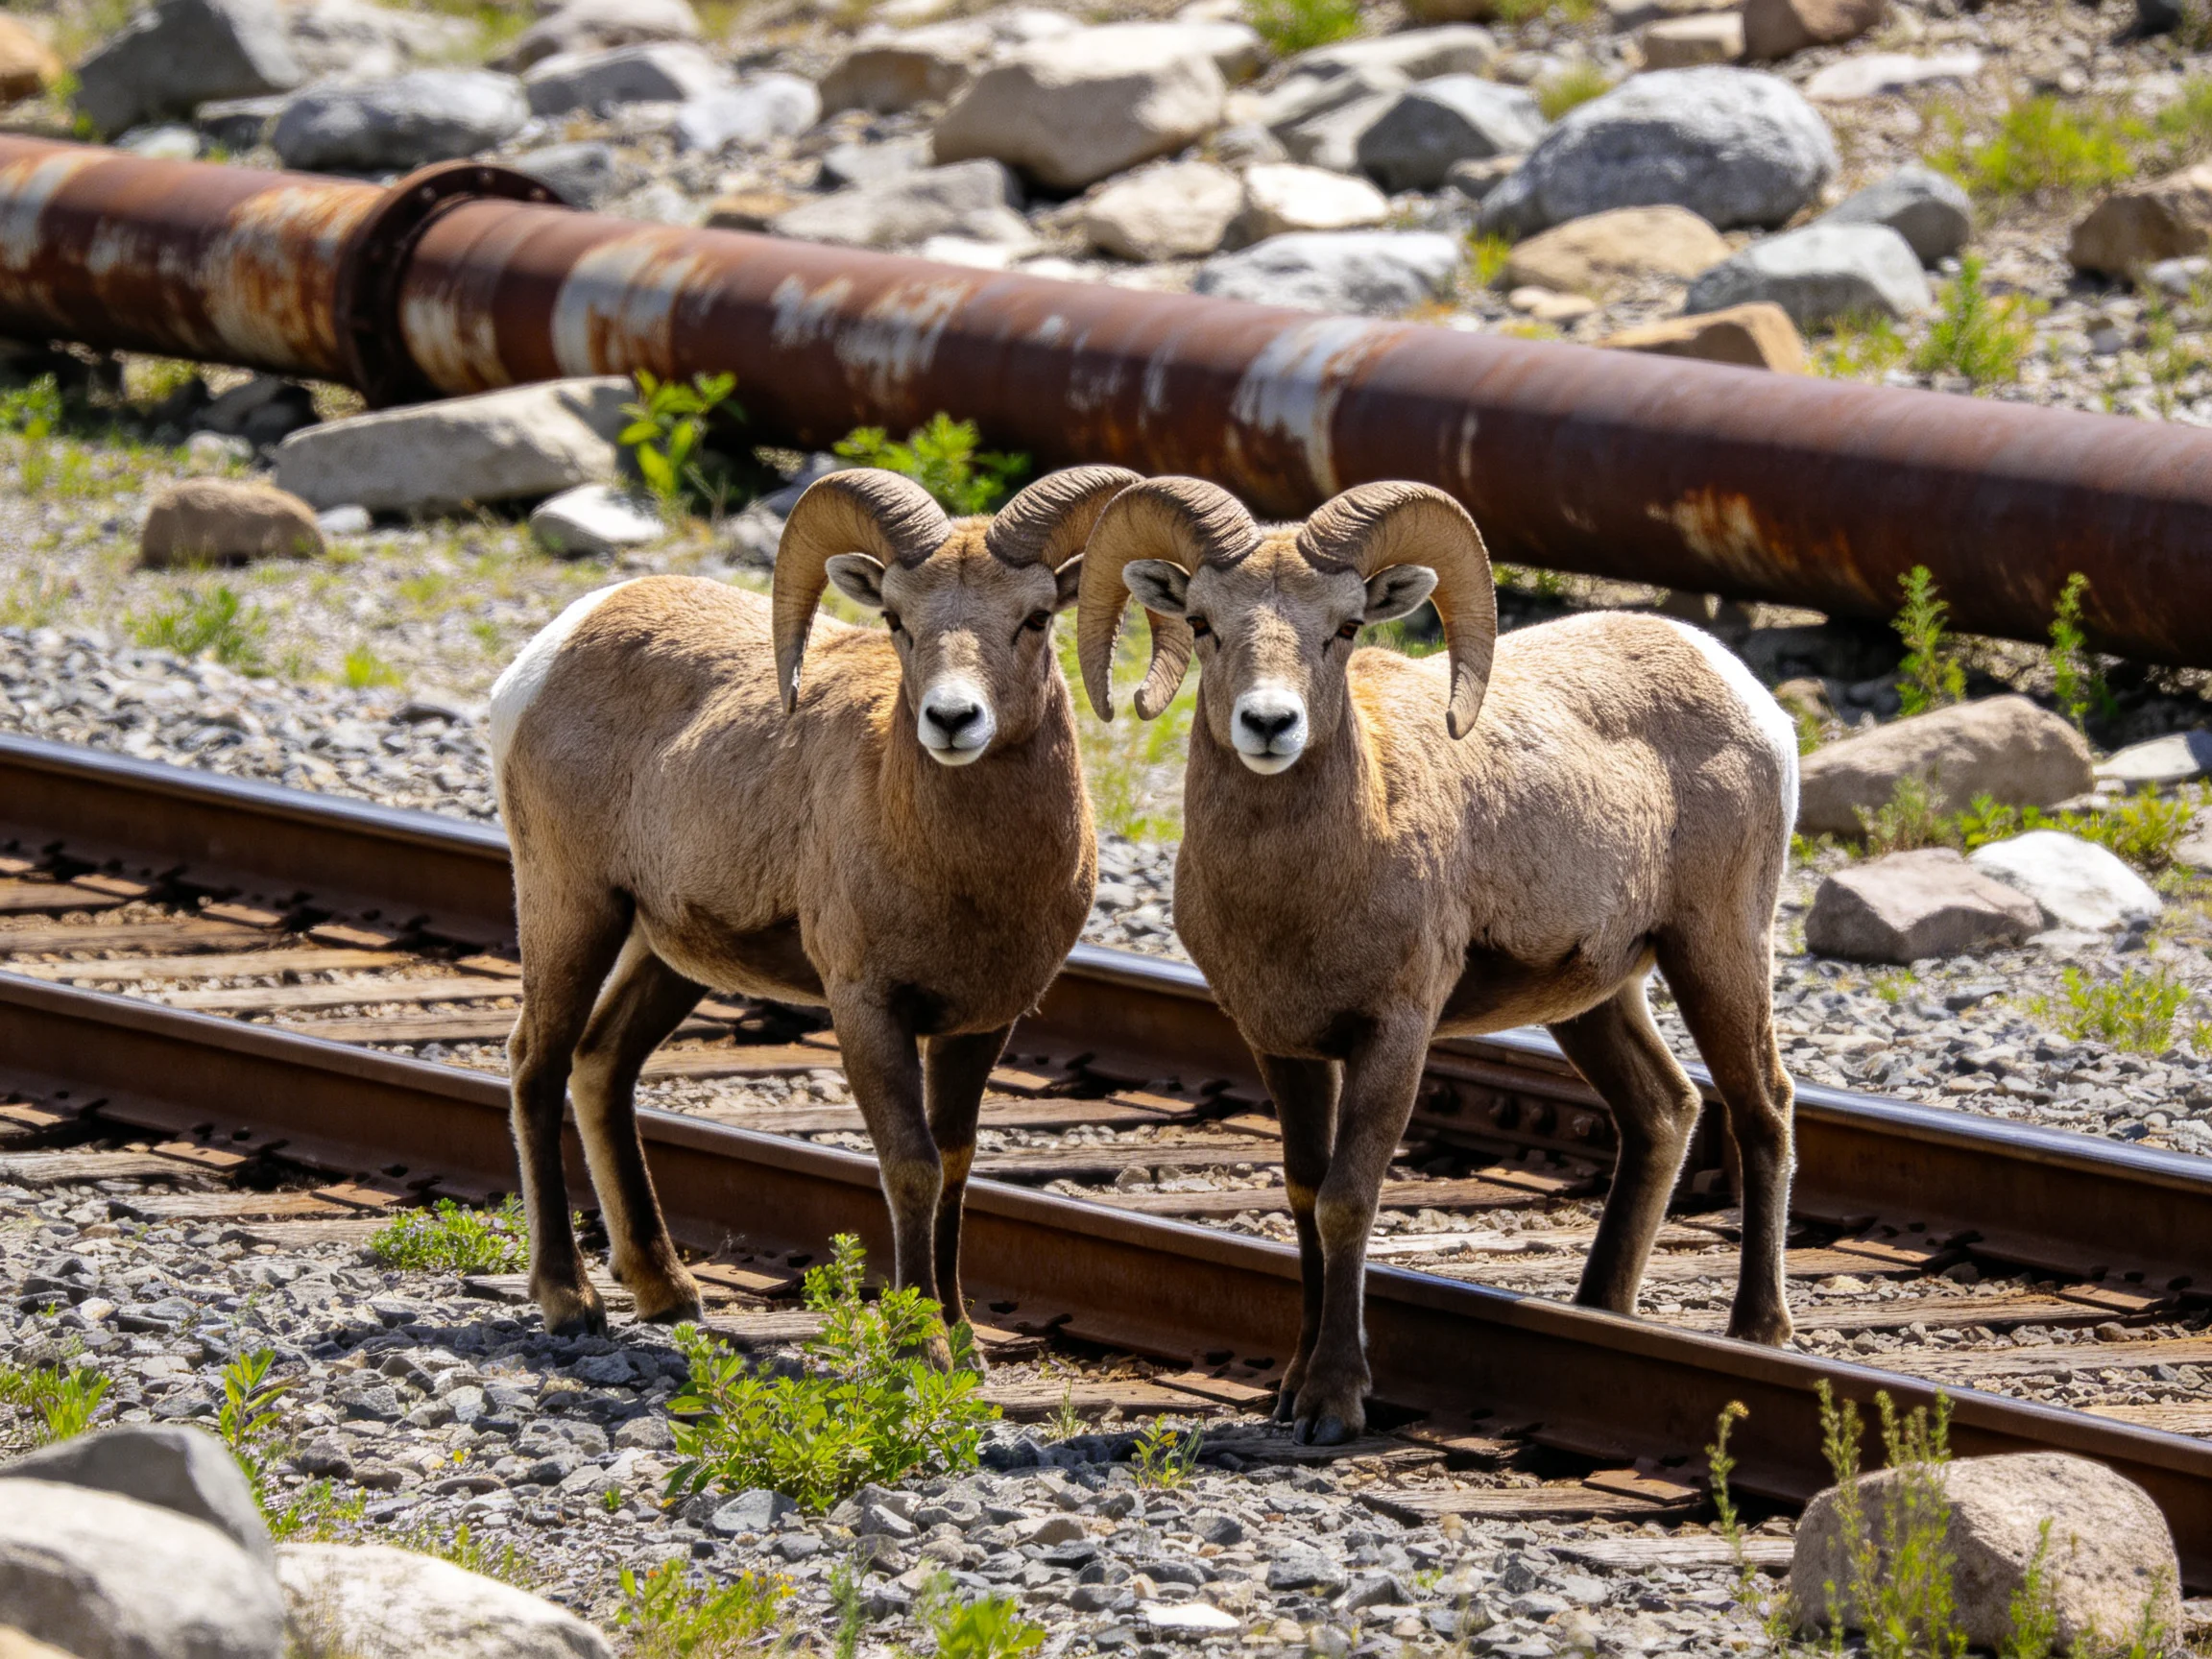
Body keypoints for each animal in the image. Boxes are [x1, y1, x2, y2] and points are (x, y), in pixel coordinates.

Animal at [488, 464, 1136, 1338]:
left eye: (1035, 619)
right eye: (897, 619)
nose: (952, 719)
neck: (968, 876)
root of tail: (547, 652)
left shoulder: (981, 1023)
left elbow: (957, 1162)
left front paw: (963, 1338)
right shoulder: (866, 1007)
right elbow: (911, 1167)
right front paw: (920, 1342)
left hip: (666, 952)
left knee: (600, 1065)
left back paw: (666, 1289)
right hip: (572, 906)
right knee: (537, 1063)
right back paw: (569, 1298)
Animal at [1075, 477, 1799, 1443]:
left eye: (1344, 627)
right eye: (1202, 623)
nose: (1270, 725)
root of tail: (1739, 684)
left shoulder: (1395, 1035)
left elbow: (1348, 1199)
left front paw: (1333, 1404)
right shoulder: (1284, 1045)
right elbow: (1304, 1197)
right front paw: (1289, 1389)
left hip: (1717, 948)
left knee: (1762, 1112)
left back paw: (1758, 1332)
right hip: (1594, 998)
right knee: (1665, 1110)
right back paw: (1599, 1312)